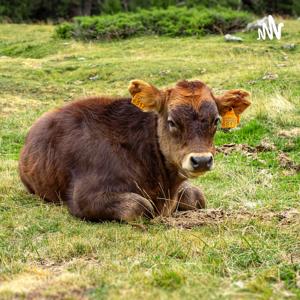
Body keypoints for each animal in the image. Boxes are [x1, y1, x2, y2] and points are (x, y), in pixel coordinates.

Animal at [17, 79, 250, 220]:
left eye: (216, 120)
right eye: (172, 121)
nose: (201, 160)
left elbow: (197, 196)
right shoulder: (84, 196)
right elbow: (140, 206)